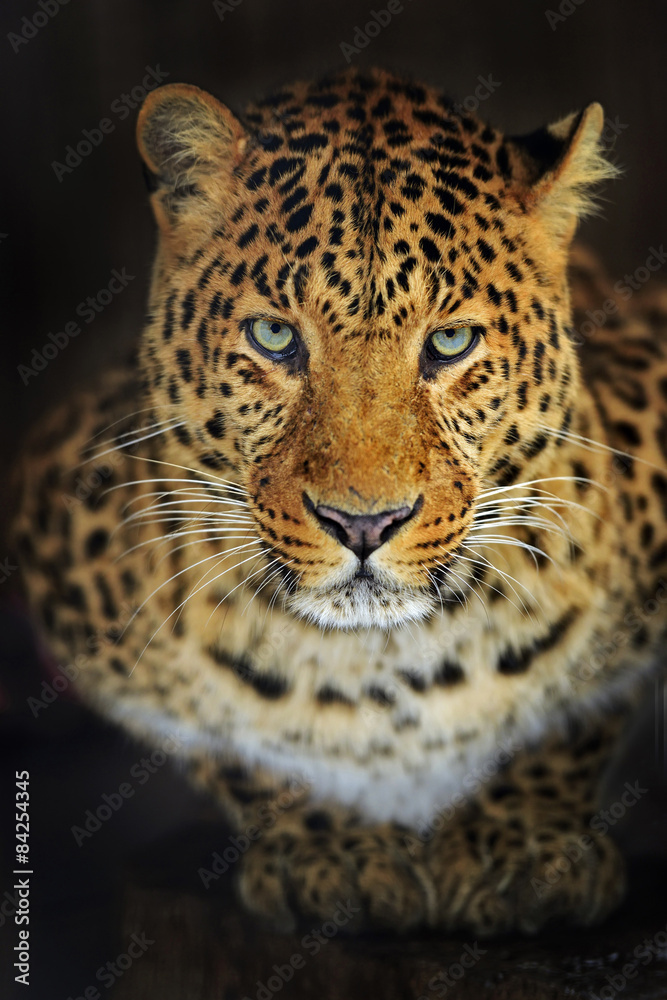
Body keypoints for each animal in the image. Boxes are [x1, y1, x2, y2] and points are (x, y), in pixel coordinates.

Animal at [11, 67, 667, 937]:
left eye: (450, 343)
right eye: (273, 338)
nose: (363, 523)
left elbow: (576, 711)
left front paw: (519, 845)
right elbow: (231, 742)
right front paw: (335, 846)